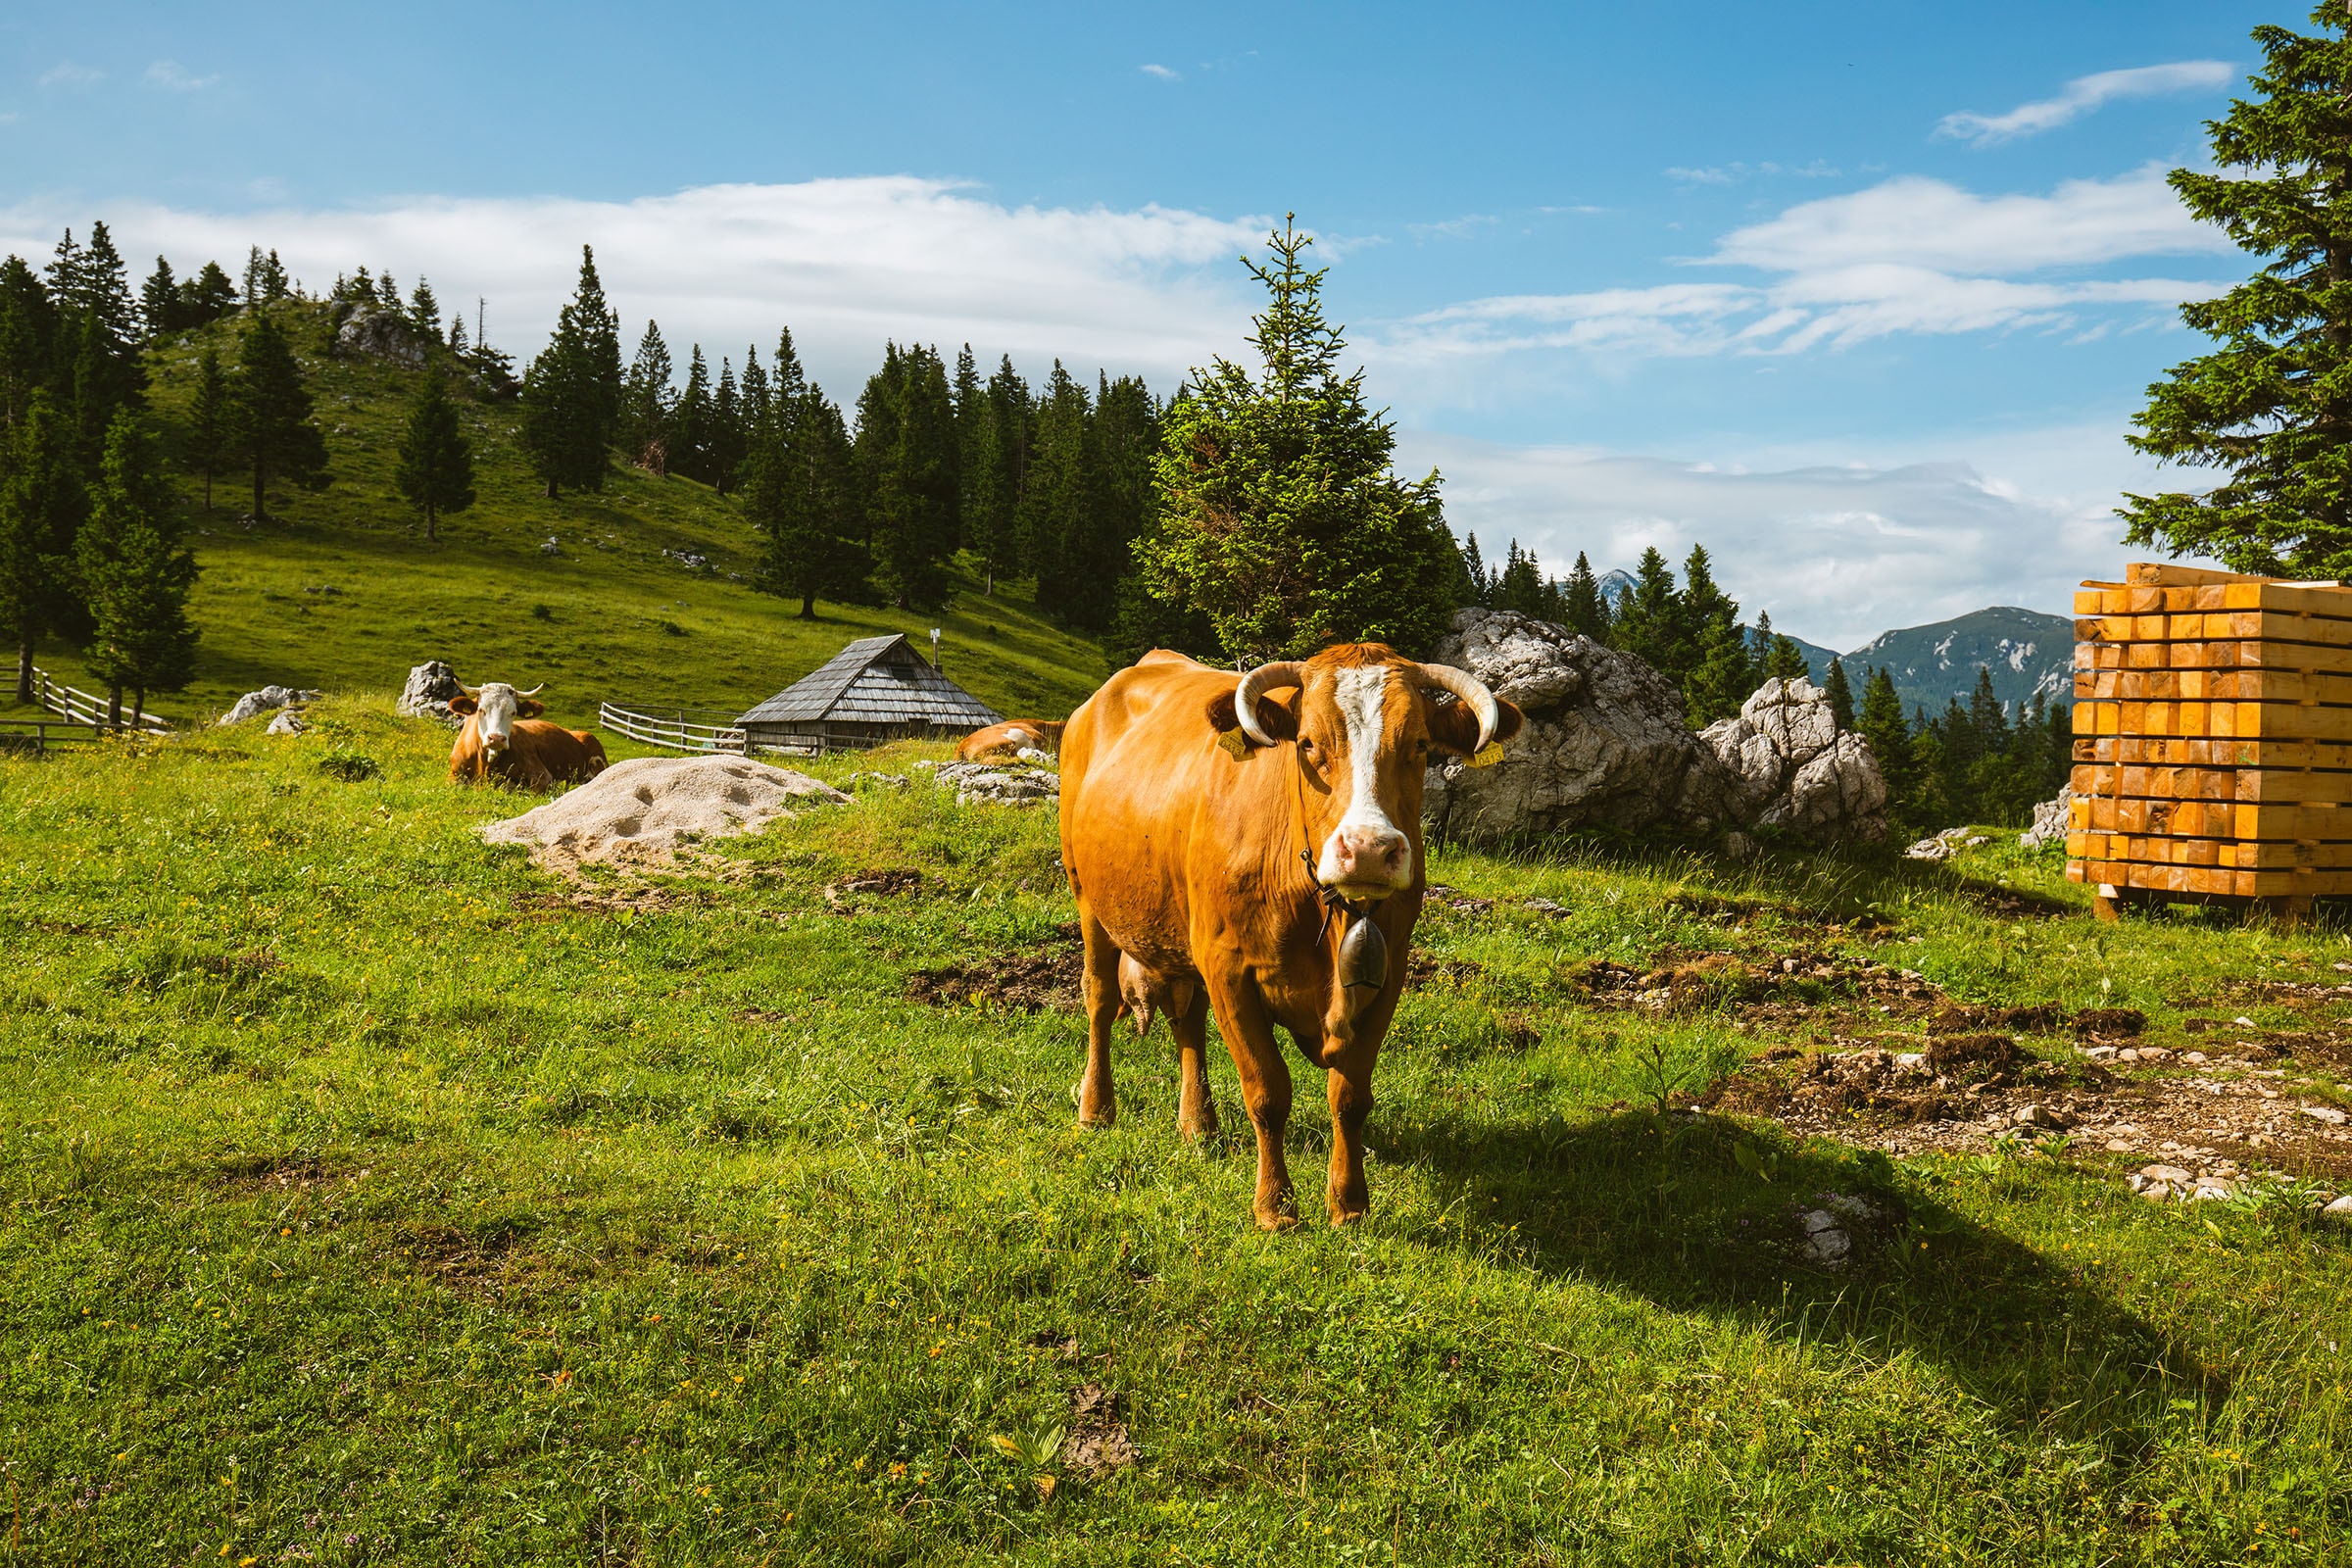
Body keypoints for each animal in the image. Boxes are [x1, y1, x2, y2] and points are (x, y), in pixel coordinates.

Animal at [447, 682, 608, 789]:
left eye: (513, 712)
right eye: (481, 710)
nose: (497, 738)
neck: (484, 764)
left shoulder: (542, 777)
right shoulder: (453, 775)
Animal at [1059, 644, 1523, 1229]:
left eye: (1419, 744)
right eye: (1307, 743)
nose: (1368, 849)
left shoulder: (1388, 975)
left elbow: (1350, 1095)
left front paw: (1349, 1204)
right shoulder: (1230, 970)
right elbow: (1267, 1091)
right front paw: (1275, 1207)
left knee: (1188, 1020)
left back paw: (1198, 1125)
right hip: (1089, 899)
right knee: (1099, 999)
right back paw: (1096, 1109)